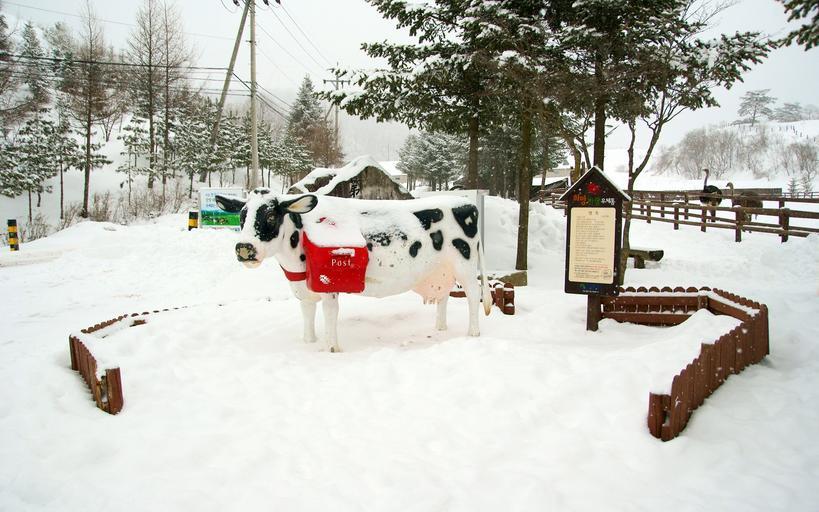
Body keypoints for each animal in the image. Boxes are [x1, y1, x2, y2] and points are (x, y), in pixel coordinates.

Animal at [215, 188, 492, 353]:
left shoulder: (329, 285)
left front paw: (332, 349)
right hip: (442, 269)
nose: (244, 247)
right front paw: (308, 343)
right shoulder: (305, 288)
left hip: (466, 264)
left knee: (472, 294)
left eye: (271, 216)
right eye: (242, 216)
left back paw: (473, 333)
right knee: (444, 295)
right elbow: (307, 315)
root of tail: (465, 203)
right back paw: (440, 328)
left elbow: (329, 316)